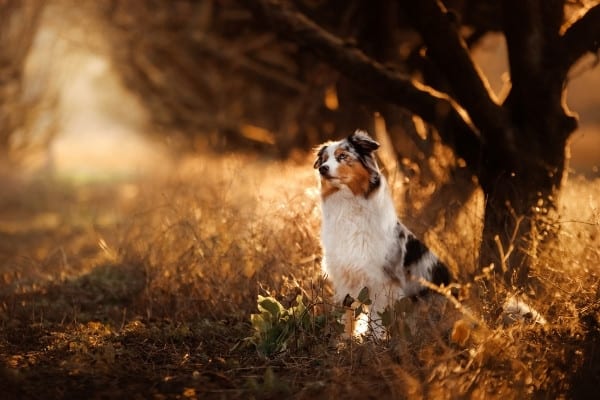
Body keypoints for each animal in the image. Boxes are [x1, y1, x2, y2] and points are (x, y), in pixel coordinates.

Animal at [314, 130, 450, 336]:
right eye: (324, 159)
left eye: (342, 156)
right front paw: (346, 340)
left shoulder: (381, 279)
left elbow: (377, 316)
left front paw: (375, 340)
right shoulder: (346, 275)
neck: (348, 202)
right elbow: (348, 314)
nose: (322, 168)